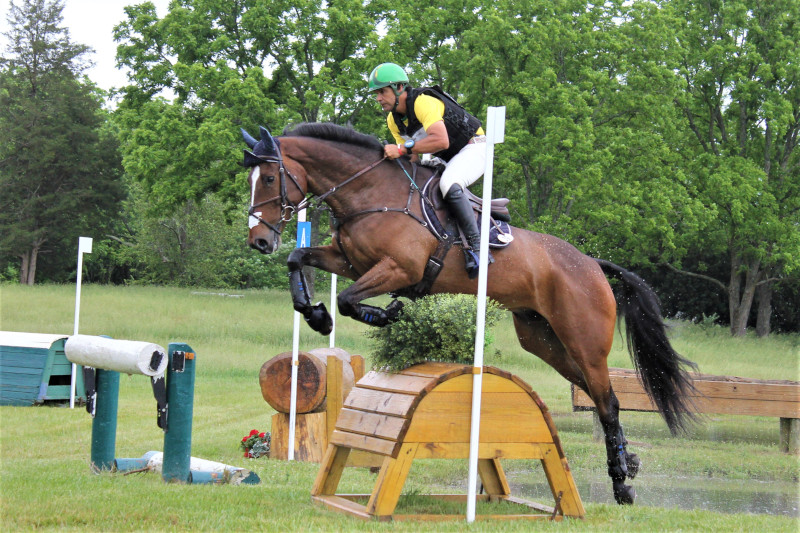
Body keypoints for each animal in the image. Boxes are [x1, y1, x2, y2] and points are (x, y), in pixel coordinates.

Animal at [241, 122, 698, 505]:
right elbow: (299, 260)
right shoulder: (349, 262)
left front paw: (388, 314)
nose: (259, 241)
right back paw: (630, 463)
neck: (371, 194)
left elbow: (349, 300)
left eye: (269, 178)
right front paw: (315, 314)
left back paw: (621, 483)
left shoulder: (398, 269)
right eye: (251, 180)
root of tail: (592, 264)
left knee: (607, 401)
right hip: (543, 340)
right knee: (601, 395)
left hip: (583, 340)